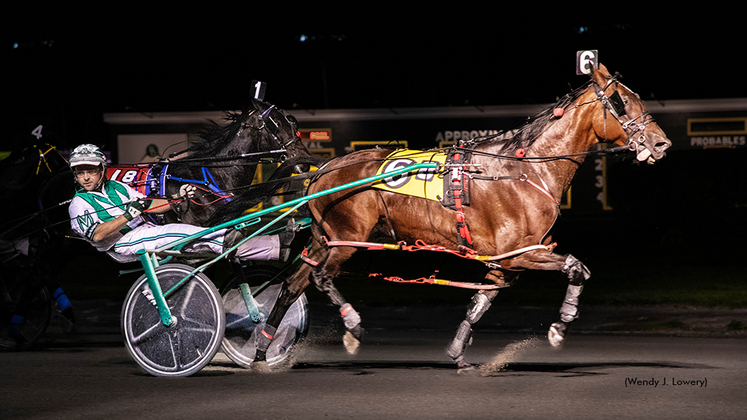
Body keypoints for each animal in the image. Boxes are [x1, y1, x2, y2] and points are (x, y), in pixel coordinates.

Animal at [251, 64, 672, 372]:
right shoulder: (522, 252)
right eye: (620, 101)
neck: (525, 170)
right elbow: (577, 267)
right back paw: (351, 326)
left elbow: (481, 301)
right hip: (347, 237)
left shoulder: (506, 262)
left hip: (324, 238)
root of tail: (324, 167)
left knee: (293, 284)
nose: (660, 142)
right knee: (321, 277)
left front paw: (458, 351)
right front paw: (559, 324)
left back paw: (261, 350)